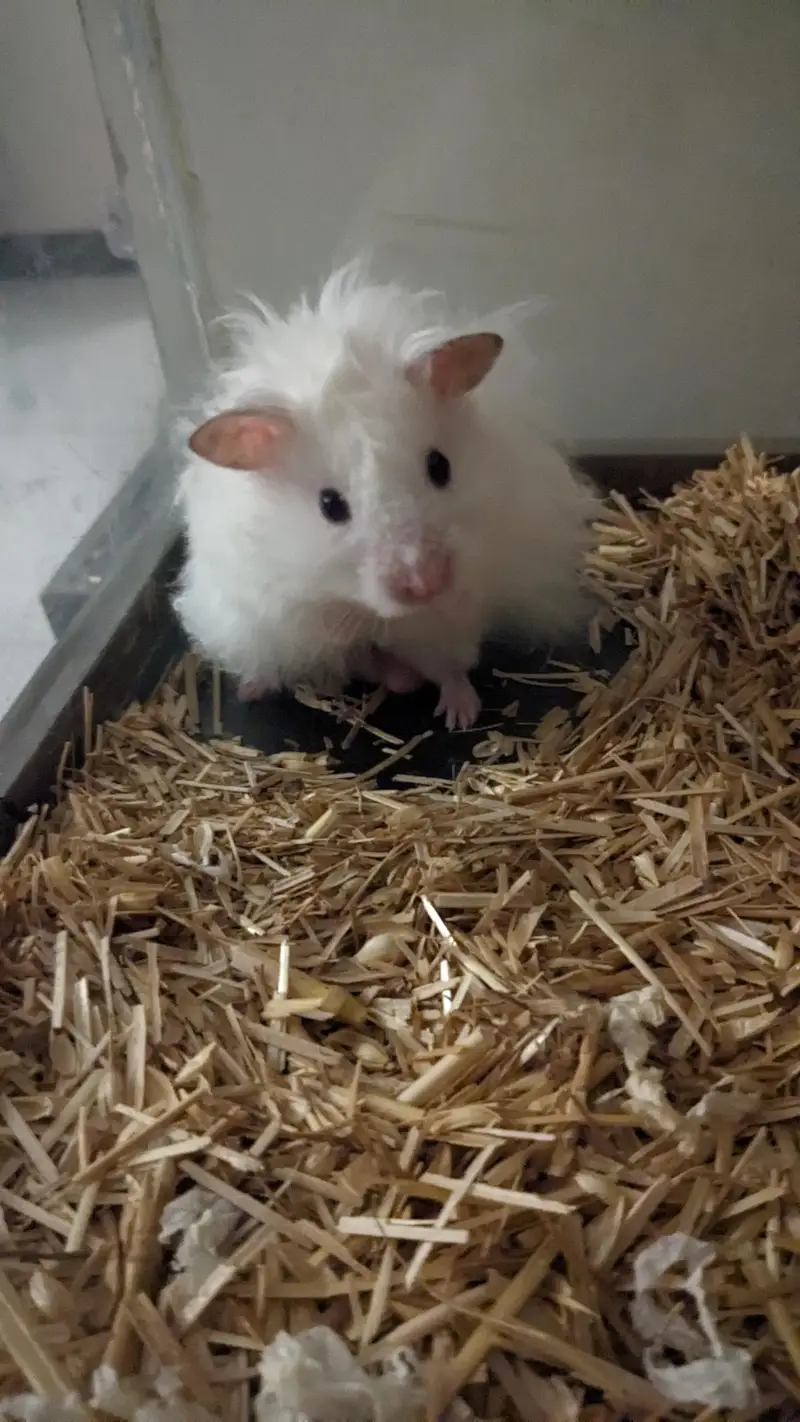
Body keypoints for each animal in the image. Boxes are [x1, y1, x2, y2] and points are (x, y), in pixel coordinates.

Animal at [174, 261, 602, 729]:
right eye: (330, 505)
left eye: (440, 466)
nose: (425, 583)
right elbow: (319, 621)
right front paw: (342, 631)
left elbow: (462, 610)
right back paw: (261, 687)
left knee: (444, 669)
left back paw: (451, 710)